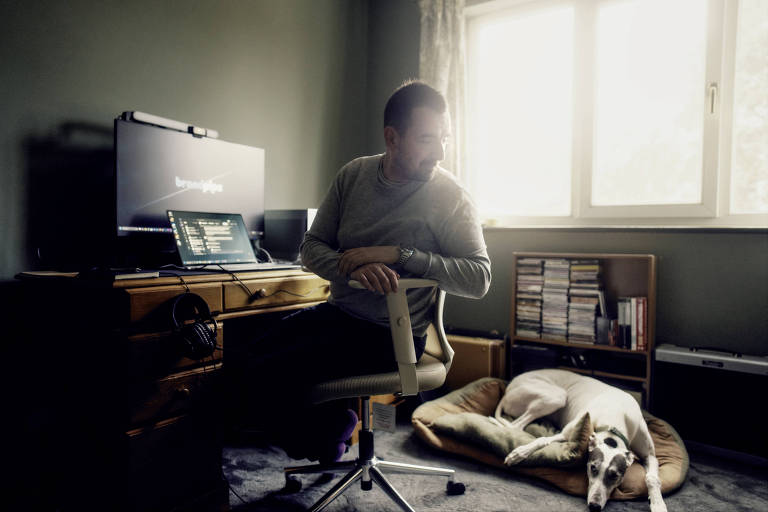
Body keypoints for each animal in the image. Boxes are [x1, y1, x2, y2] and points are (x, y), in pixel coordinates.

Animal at [492, 368, 664, 512]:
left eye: (615, 475)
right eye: (592, 468)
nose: (594, 506)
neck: (615, 422)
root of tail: (508, 389)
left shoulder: (650, 455)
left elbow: (652, 478)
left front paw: (658, 504)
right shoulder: (565, 433)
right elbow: (542, 440)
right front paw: (518, 453)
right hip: (556, 396)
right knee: (516, 425)